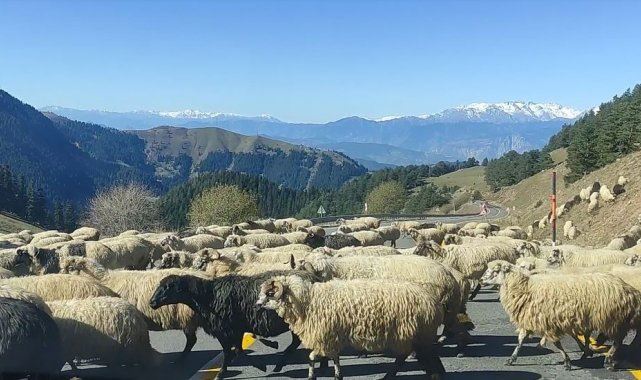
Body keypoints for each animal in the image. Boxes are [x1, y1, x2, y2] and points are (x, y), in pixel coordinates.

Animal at [255, 276, 444, 380]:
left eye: (270, 293)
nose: (257, 305)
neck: (308, 301)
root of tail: (432, 302)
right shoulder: (332, 335)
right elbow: (334, 357)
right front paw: (338, 375)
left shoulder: (324, 335)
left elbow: (312, 356)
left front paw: (311, 376)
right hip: (415, 333)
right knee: (416, 355)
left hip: (413, 333)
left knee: (416, 356)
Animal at [480, 260, 640, 370]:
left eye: (495, 270)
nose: (481, 280)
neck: (526, 288)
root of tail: (628, 290)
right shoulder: (532, 319)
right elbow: (520, 340)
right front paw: (511, 359)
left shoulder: (548, 322)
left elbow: (557, 343)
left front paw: (567, 361)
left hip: (612, 319)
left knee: (618, 340)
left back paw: (609, 359)